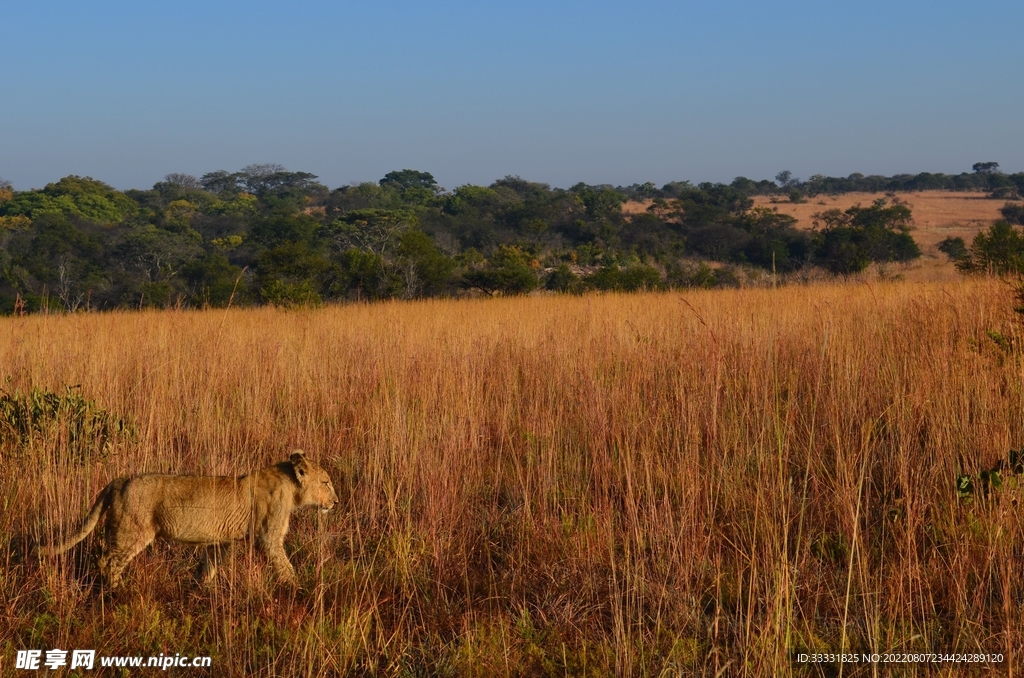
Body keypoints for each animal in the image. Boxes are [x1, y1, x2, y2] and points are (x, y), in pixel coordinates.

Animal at [36, 450, 337, 589]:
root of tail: (118, 480)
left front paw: (201, 589)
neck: (291, 486)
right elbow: (285, 566)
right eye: (326, 482)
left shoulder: (221, 540)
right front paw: (299, 590)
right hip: (130, 532)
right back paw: (118, 591)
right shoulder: (268, 537)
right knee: (107, 562)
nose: (336, 502)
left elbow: (210, 565)